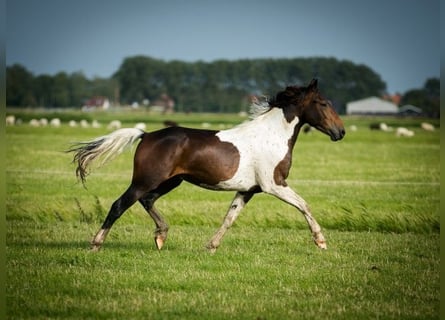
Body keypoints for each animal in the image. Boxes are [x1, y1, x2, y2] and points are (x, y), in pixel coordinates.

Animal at [67, 79, 346, 252]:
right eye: (323, 103)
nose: (340, 132)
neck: (273, 135)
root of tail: (146, 135)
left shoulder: (248, 190)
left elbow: (229, 217)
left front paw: (211, 246)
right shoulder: (274, 184)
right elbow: (304, 205)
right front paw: (321, 242)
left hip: (170, 181)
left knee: (146, 200)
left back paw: (161, 236)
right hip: (146, 179)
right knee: (120, 204)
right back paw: (96, 244)